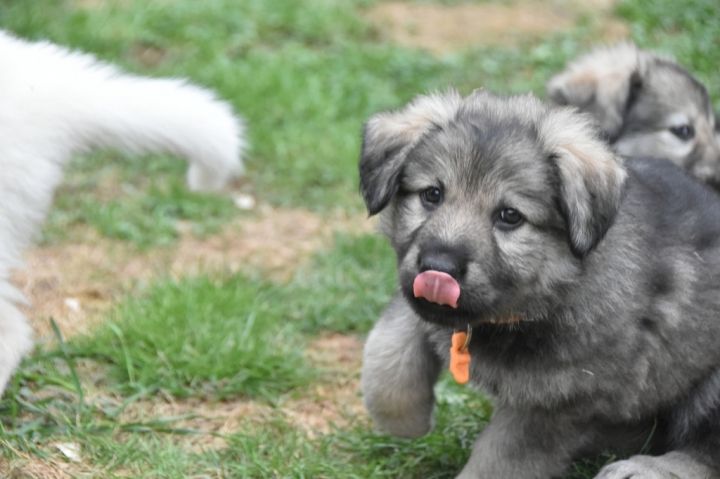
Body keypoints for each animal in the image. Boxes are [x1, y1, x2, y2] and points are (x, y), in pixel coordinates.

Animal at [359, 90, 720, 478]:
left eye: (509, 216)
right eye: (432, 194)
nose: (439, 268)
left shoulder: (555, 404)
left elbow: (497, 460)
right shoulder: (419, 290)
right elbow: (389, 347)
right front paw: (402, 417)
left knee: (705, 448)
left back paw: (644, 468)